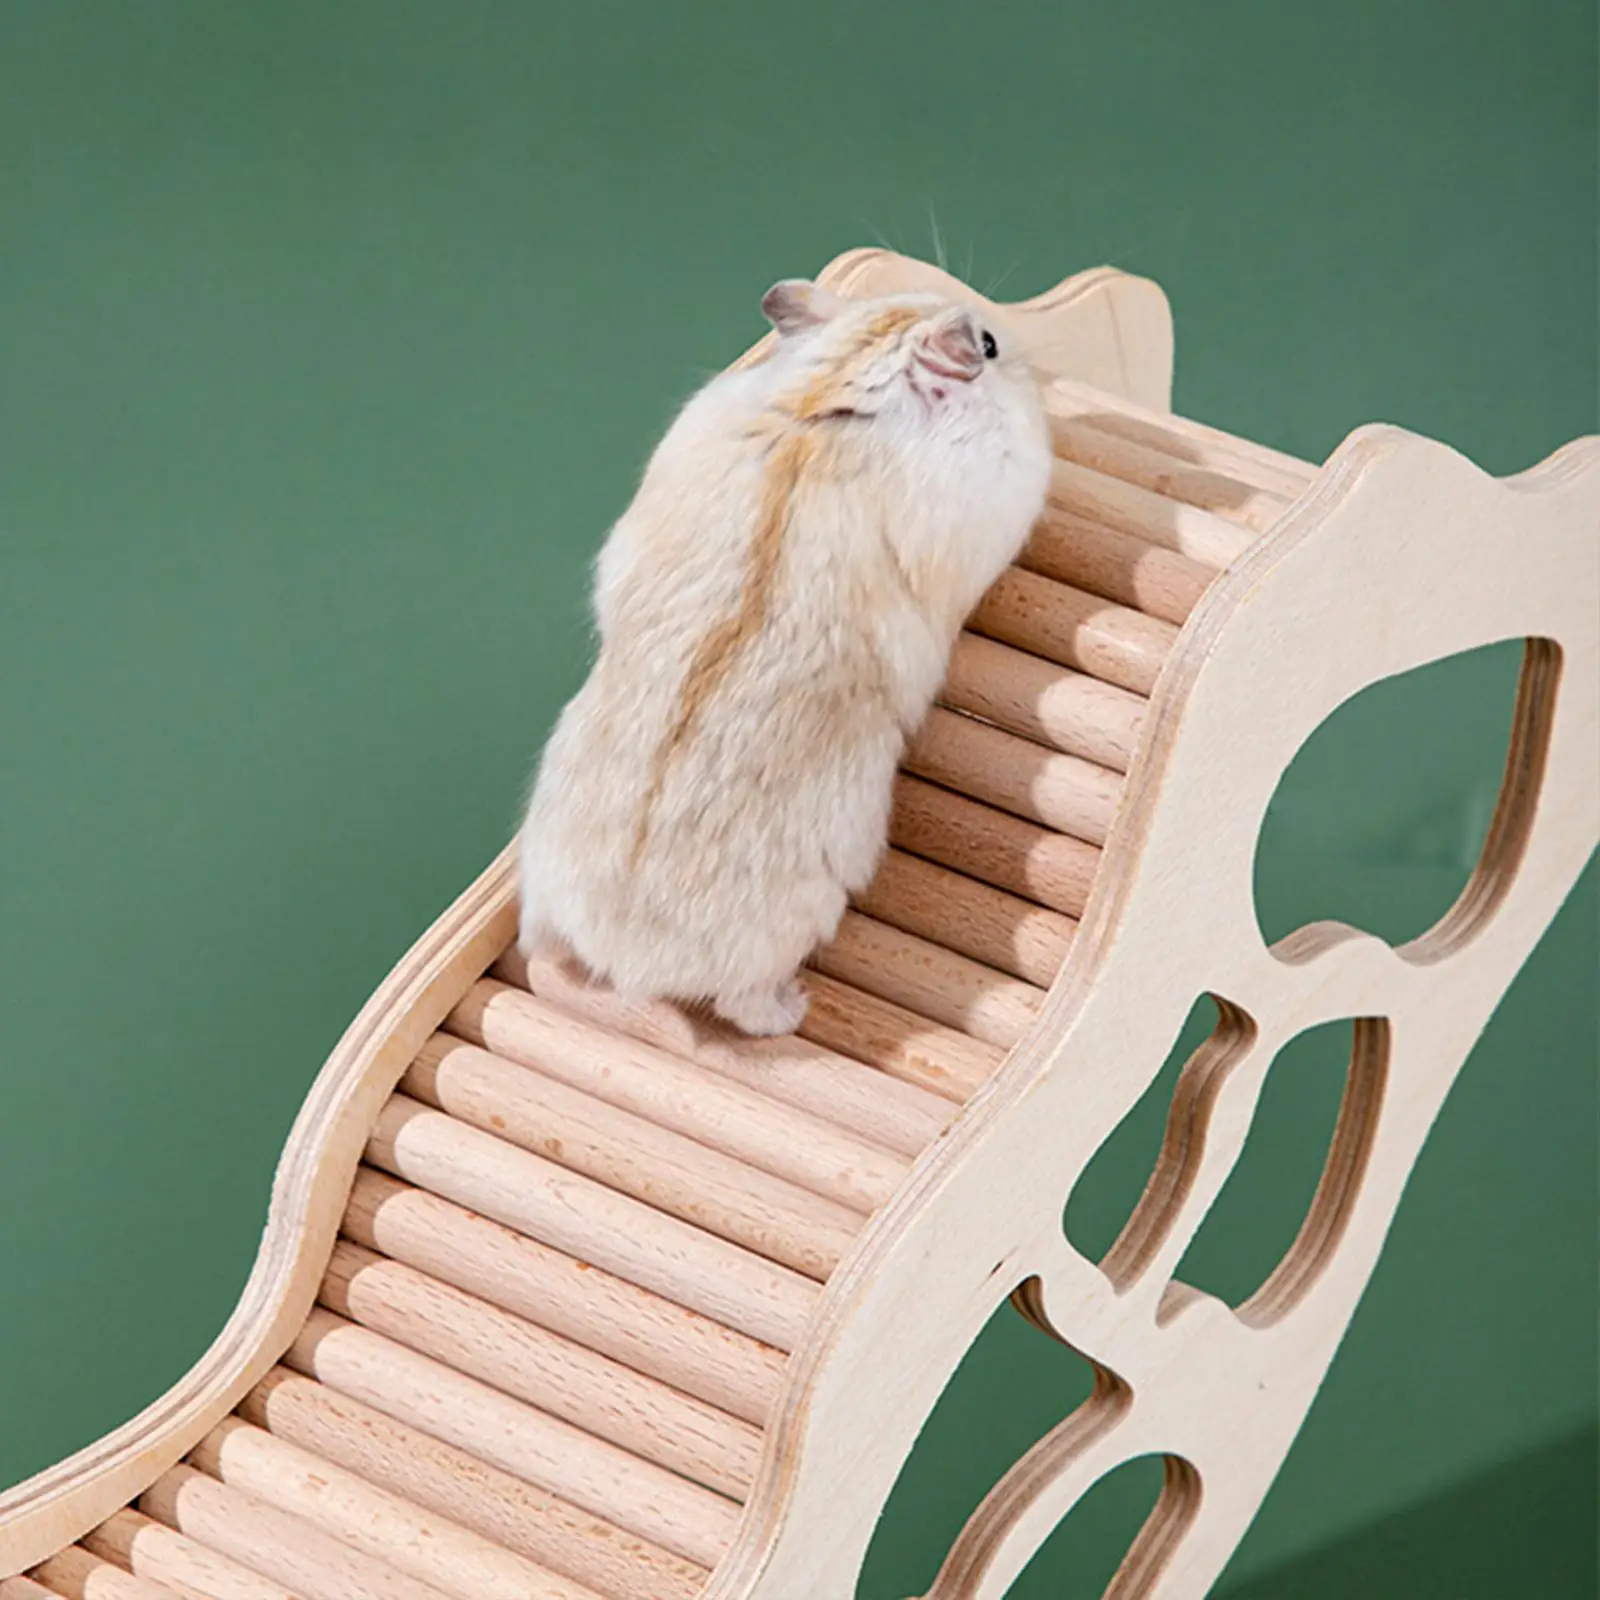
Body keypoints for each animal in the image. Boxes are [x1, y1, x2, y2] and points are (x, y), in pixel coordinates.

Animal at [517, 277, 1051, 1035]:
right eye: (990, 344)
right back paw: (792, 1008)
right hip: (787, 929)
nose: (1009, 344)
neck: (838, 386)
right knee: (741, 1005)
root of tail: (624, 958)